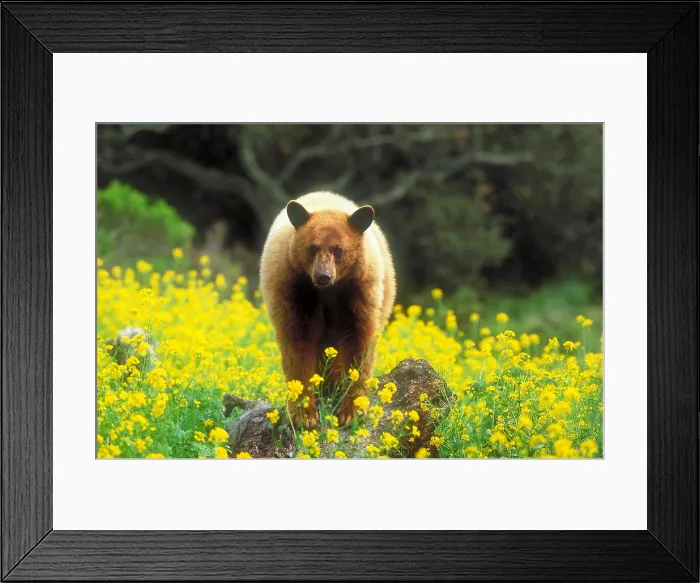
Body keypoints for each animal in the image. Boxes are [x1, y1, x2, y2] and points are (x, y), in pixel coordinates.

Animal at [259, 191, 396, 428]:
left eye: (338, 249)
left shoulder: (359, 293)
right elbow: (297, 347)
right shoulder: (293, 293)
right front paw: (304, 414)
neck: (327, 292)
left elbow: (360, 342)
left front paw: (351, 410)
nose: (323, 276)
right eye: (312, 247)